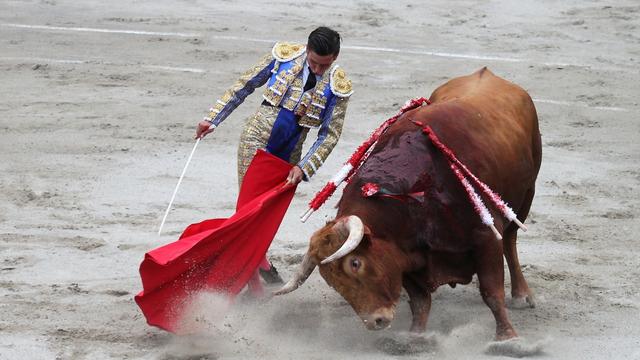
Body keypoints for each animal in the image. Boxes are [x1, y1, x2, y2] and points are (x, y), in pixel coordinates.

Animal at [278, 67, 544, 340]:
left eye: (355, 263)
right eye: (329, 279)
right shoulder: (405, 254)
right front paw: (416, 337)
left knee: (511, 241)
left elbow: (492, 293)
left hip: (527, 193)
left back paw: (521, 295)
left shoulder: (486, 237)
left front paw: (507, 336)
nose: (375, 321)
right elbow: (420, 301)